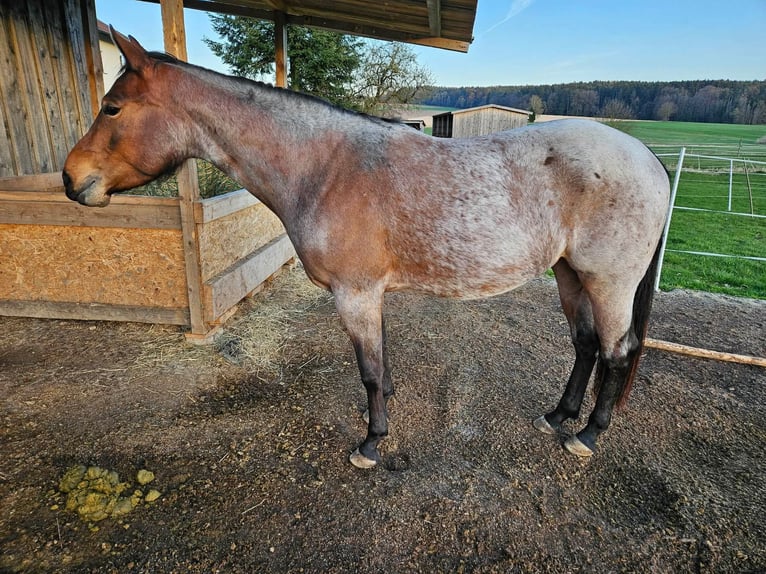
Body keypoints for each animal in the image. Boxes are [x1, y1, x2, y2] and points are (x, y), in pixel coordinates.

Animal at [63, 29, 670, 469]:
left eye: (112, 107)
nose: (72, 180)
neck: (327, 166)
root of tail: (647, 157)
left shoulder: (353, 294)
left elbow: (369, 370)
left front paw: (371, 443)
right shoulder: (371, 294)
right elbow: (381, 359)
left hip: (608, 283)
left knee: (617, 351)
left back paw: (587, 435)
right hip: (570, 274)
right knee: (586, 345)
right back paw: (558, 416)